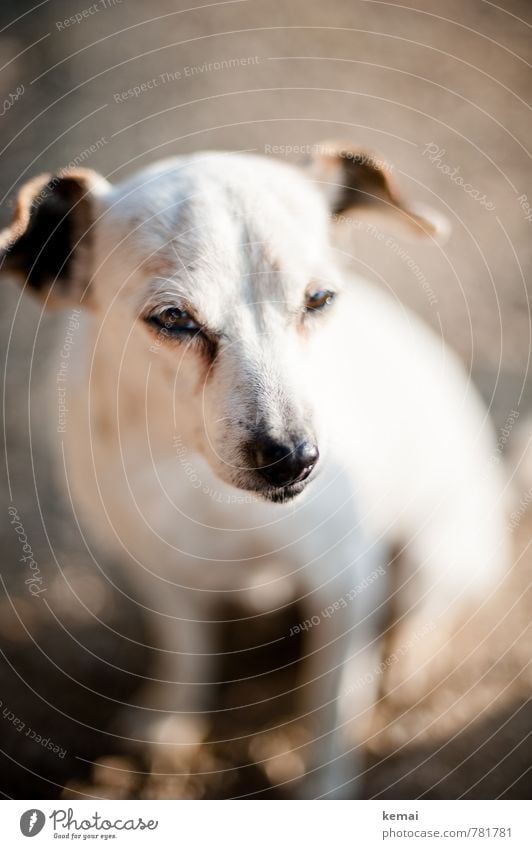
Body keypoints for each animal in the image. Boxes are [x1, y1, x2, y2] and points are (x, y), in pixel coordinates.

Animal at [0, 142, 510, 800]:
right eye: (173, 318)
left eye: (320, 300)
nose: (293, 456)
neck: (193, 478)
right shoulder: (160, 576)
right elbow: (187, 652)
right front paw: (172, 720)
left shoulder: (343, 586)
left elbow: (329, 713)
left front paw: (325, 791)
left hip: (435, 551)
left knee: (423, 614)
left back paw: (407, 663)